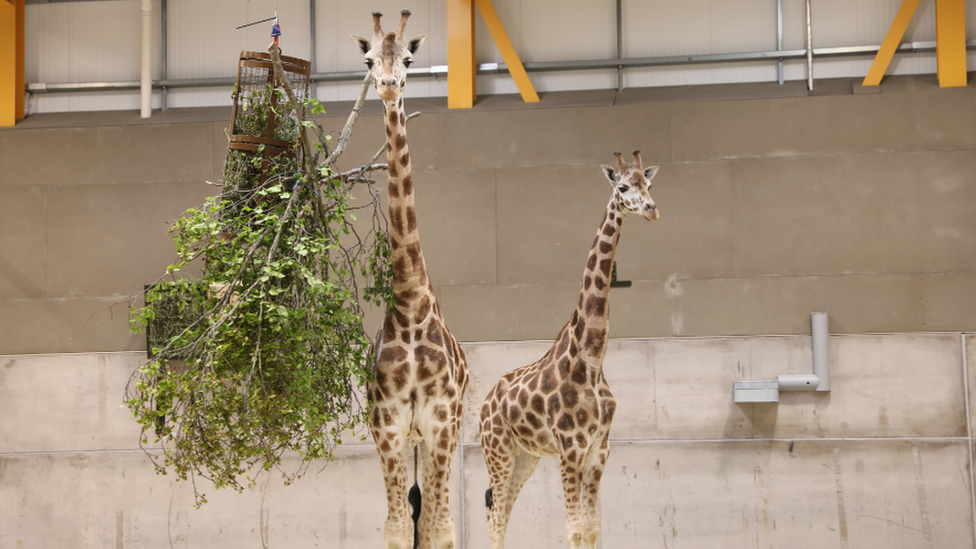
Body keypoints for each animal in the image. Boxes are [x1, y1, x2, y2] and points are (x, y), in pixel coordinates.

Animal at [478, 151, 660, 548]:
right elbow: (573, 529)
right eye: (623, 187)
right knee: (495, 516)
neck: (592, 358)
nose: (652, 209)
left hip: (525, 456)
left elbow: (591, 529)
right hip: (497, 448)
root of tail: (484, 404)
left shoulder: (599, 449)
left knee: (502, 511)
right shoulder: (571, 446)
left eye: (649, 183)